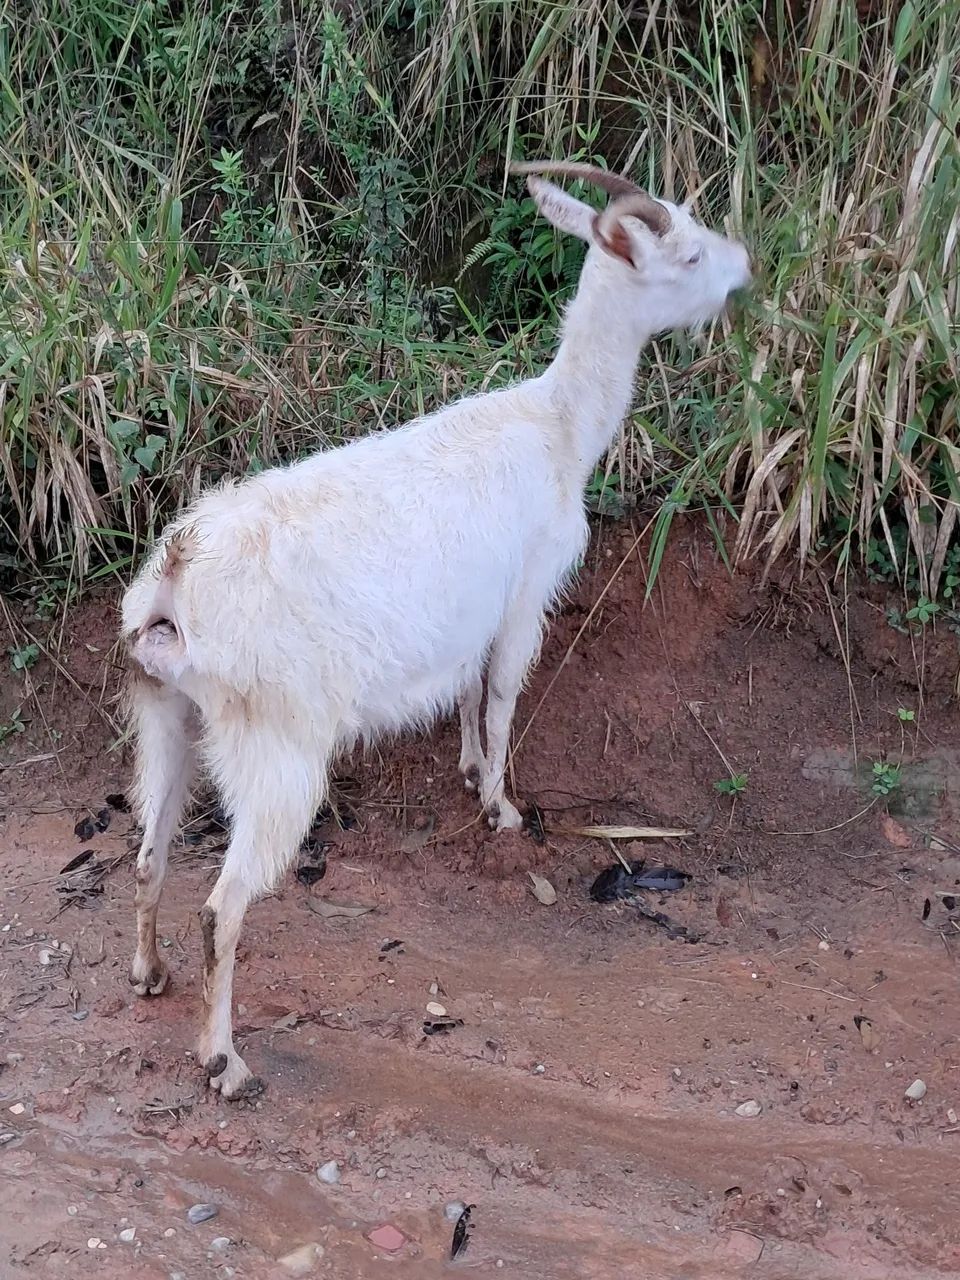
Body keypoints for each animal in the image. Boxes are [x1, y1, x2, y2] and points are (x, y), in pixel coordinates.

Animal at [121, 160, 753, 1098]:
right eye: (687, 253)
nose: (746, 266)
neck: (557, 428)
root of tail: (174, 576)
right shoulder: (527, 592)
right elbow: (502, 694)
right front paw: (501, 808)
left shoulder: (473, 621)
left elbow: (466, 691)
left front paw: (464, 770)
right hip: (276, 745)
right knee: (220, 907)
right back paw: (226, 1062)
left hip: (165, 714)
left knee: (147, 855)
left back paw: (147, 973)